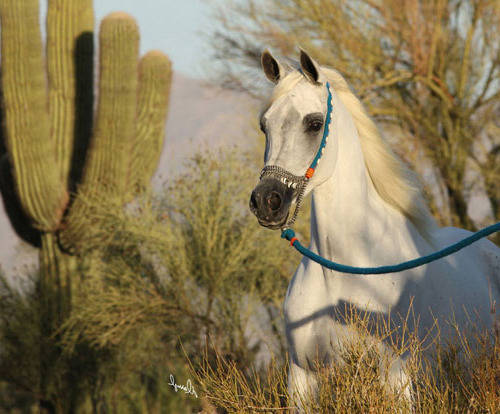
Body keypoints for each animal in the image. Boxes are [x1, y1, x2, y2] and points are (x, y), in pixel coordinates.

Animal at [249, 49, 500, 409]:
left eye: (314, 123)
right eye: (264, 125)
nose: (266, 201)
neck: (343, 272)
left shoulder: (395, 376)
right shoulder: (302, 376)